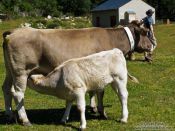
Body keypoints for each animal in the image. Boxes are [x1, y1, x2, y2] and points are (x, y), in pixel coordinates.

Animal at [1, 20, 152, 126]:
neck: (111, 38)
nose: (152, 45)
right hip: (21, 72)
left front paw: (94, 108)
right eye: (145, 32)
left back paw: (9, 115)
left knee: (6, 89)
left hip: (10, 70)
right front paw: (101, 112)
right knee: (18, 93)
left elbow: (93, 91)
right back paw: (25, 120)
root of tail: (14, 31)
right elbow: (100, 92)